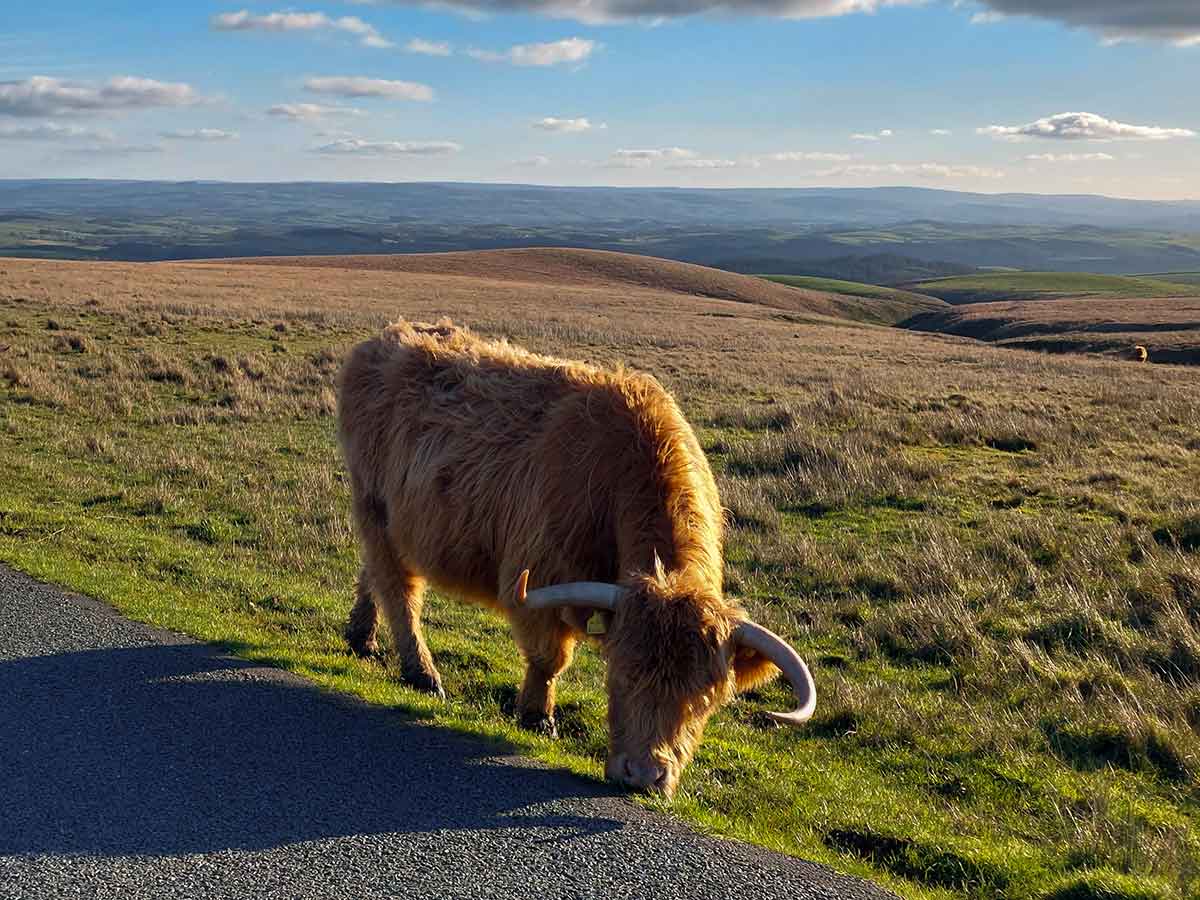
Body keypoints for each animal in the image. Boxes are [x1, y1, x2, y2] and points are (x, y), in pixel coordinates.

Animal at [336, 319, 816, 796]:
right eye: (622, 674)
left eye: (705, 698)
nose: (644, 775)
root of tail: (384, 337)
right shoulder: (538, 576)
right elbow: (549, 657)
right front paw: (537, 718)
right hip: (373, 501)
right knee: (399, 589)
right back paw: (421, 673)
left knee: (375, 571)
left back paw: (361, 637)